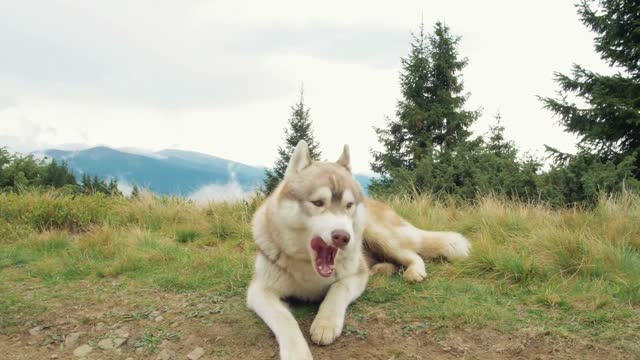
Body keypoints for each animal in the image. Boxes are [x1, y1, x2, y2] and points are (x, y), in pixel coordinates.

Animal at [249, 141, 470, 360]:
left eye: (348, 205)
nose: (343, 237)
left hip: (378, 235)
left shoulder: (355, 275)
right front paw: (297, 353)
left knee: (412, 254)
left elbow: (337, 290)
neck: (309, 269)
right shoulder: (259, 291)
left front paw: (325, 323)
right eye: (318, 203)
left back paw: (414, 271)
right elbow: (284, 318)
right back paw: (382, 269)